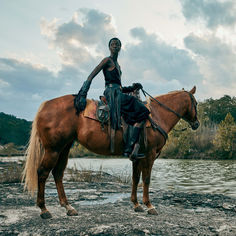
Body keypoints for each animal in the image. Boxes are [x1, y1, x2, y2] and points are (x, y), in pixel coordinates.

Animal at [22, 85, 199, 218]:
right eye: (196, 103)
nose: (197, 123)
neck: (156, 115)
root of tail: (46, 105)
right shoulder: (149, 155)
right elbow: (146, 180)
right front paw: (149, 206)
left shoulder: (137, 157)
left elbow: (135, 179)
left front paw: (136, 204)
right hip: (53, 150)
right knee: (43, 173)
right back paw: (44, 209)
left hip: (64, 149)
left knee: (58, 173)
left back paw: (68, 207)